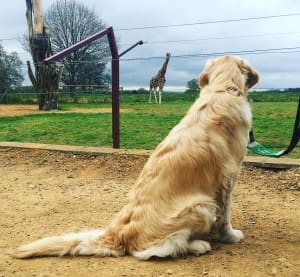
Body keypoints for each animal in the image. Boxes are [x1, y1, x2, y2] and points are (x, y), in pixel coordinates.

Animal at [11, 55, 258, 258]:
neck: (222, 90)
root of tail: (117, 233)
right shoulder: (228, 177)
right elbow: (225, 216)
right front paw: (230, 236)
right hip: (201, 204)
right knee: (155, 249)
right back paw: (198, 245)